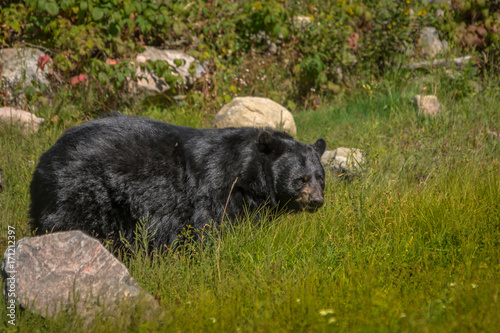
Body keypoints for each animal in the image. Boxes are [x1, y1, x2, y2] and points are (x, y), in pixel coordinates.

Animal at [31, 115, 328, 248]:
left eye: (320, 178)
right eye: (300, 179)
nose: (317, 200)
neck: (246, 173)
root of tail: (46, 156)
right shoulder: (215, 188)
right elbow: (210, 226)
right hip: (81, 190)